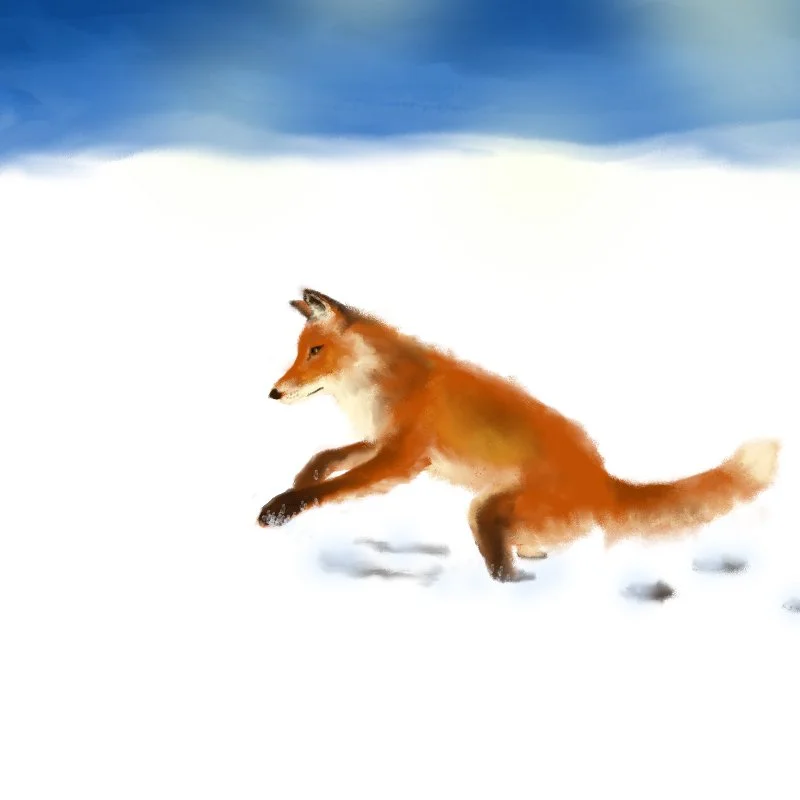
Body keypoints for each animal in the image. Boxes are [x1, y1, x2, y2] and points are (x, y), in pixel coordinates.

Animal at [257, 288, 781, 582]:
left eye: (315, 350)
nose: (273, 393)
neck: (385, 383)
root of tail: (603, 479)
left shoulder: (402, 459)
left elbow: (334, 486)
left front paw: (282, 508)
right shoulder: (381, 442)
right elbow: (324, 458)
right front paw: (296, 486)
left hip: (484, 509)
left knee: (504, 568)